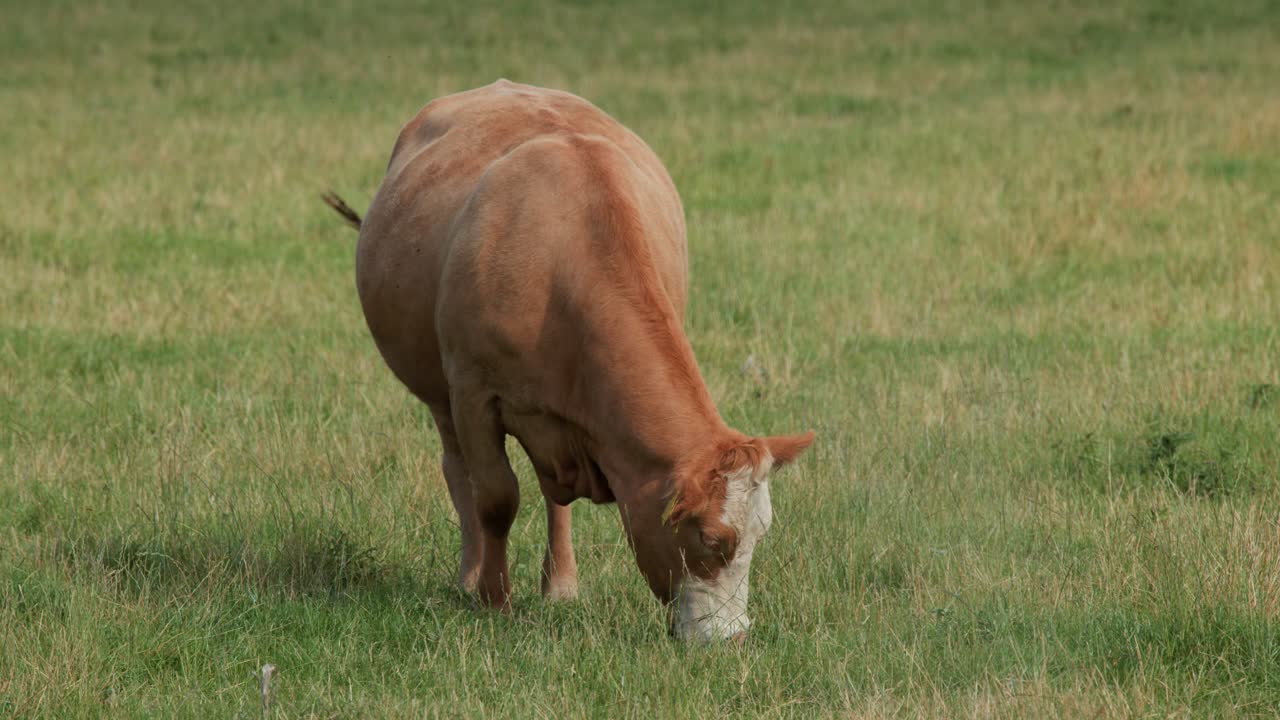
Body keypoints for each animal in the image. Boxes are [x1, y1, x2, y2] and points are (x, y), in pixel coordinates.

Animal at [324, 80, 813, 641]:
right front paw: (494, 601)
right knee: (457, 471)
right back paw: (470, 575)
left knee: (552, 495)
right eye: (713, 541)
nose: (731, 639)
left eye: (760, 535)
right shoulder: (472, 392)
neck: (562, 263)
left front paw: (554, 588)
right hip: (438, 393)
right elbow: (495, 498)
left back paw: (559, 583)